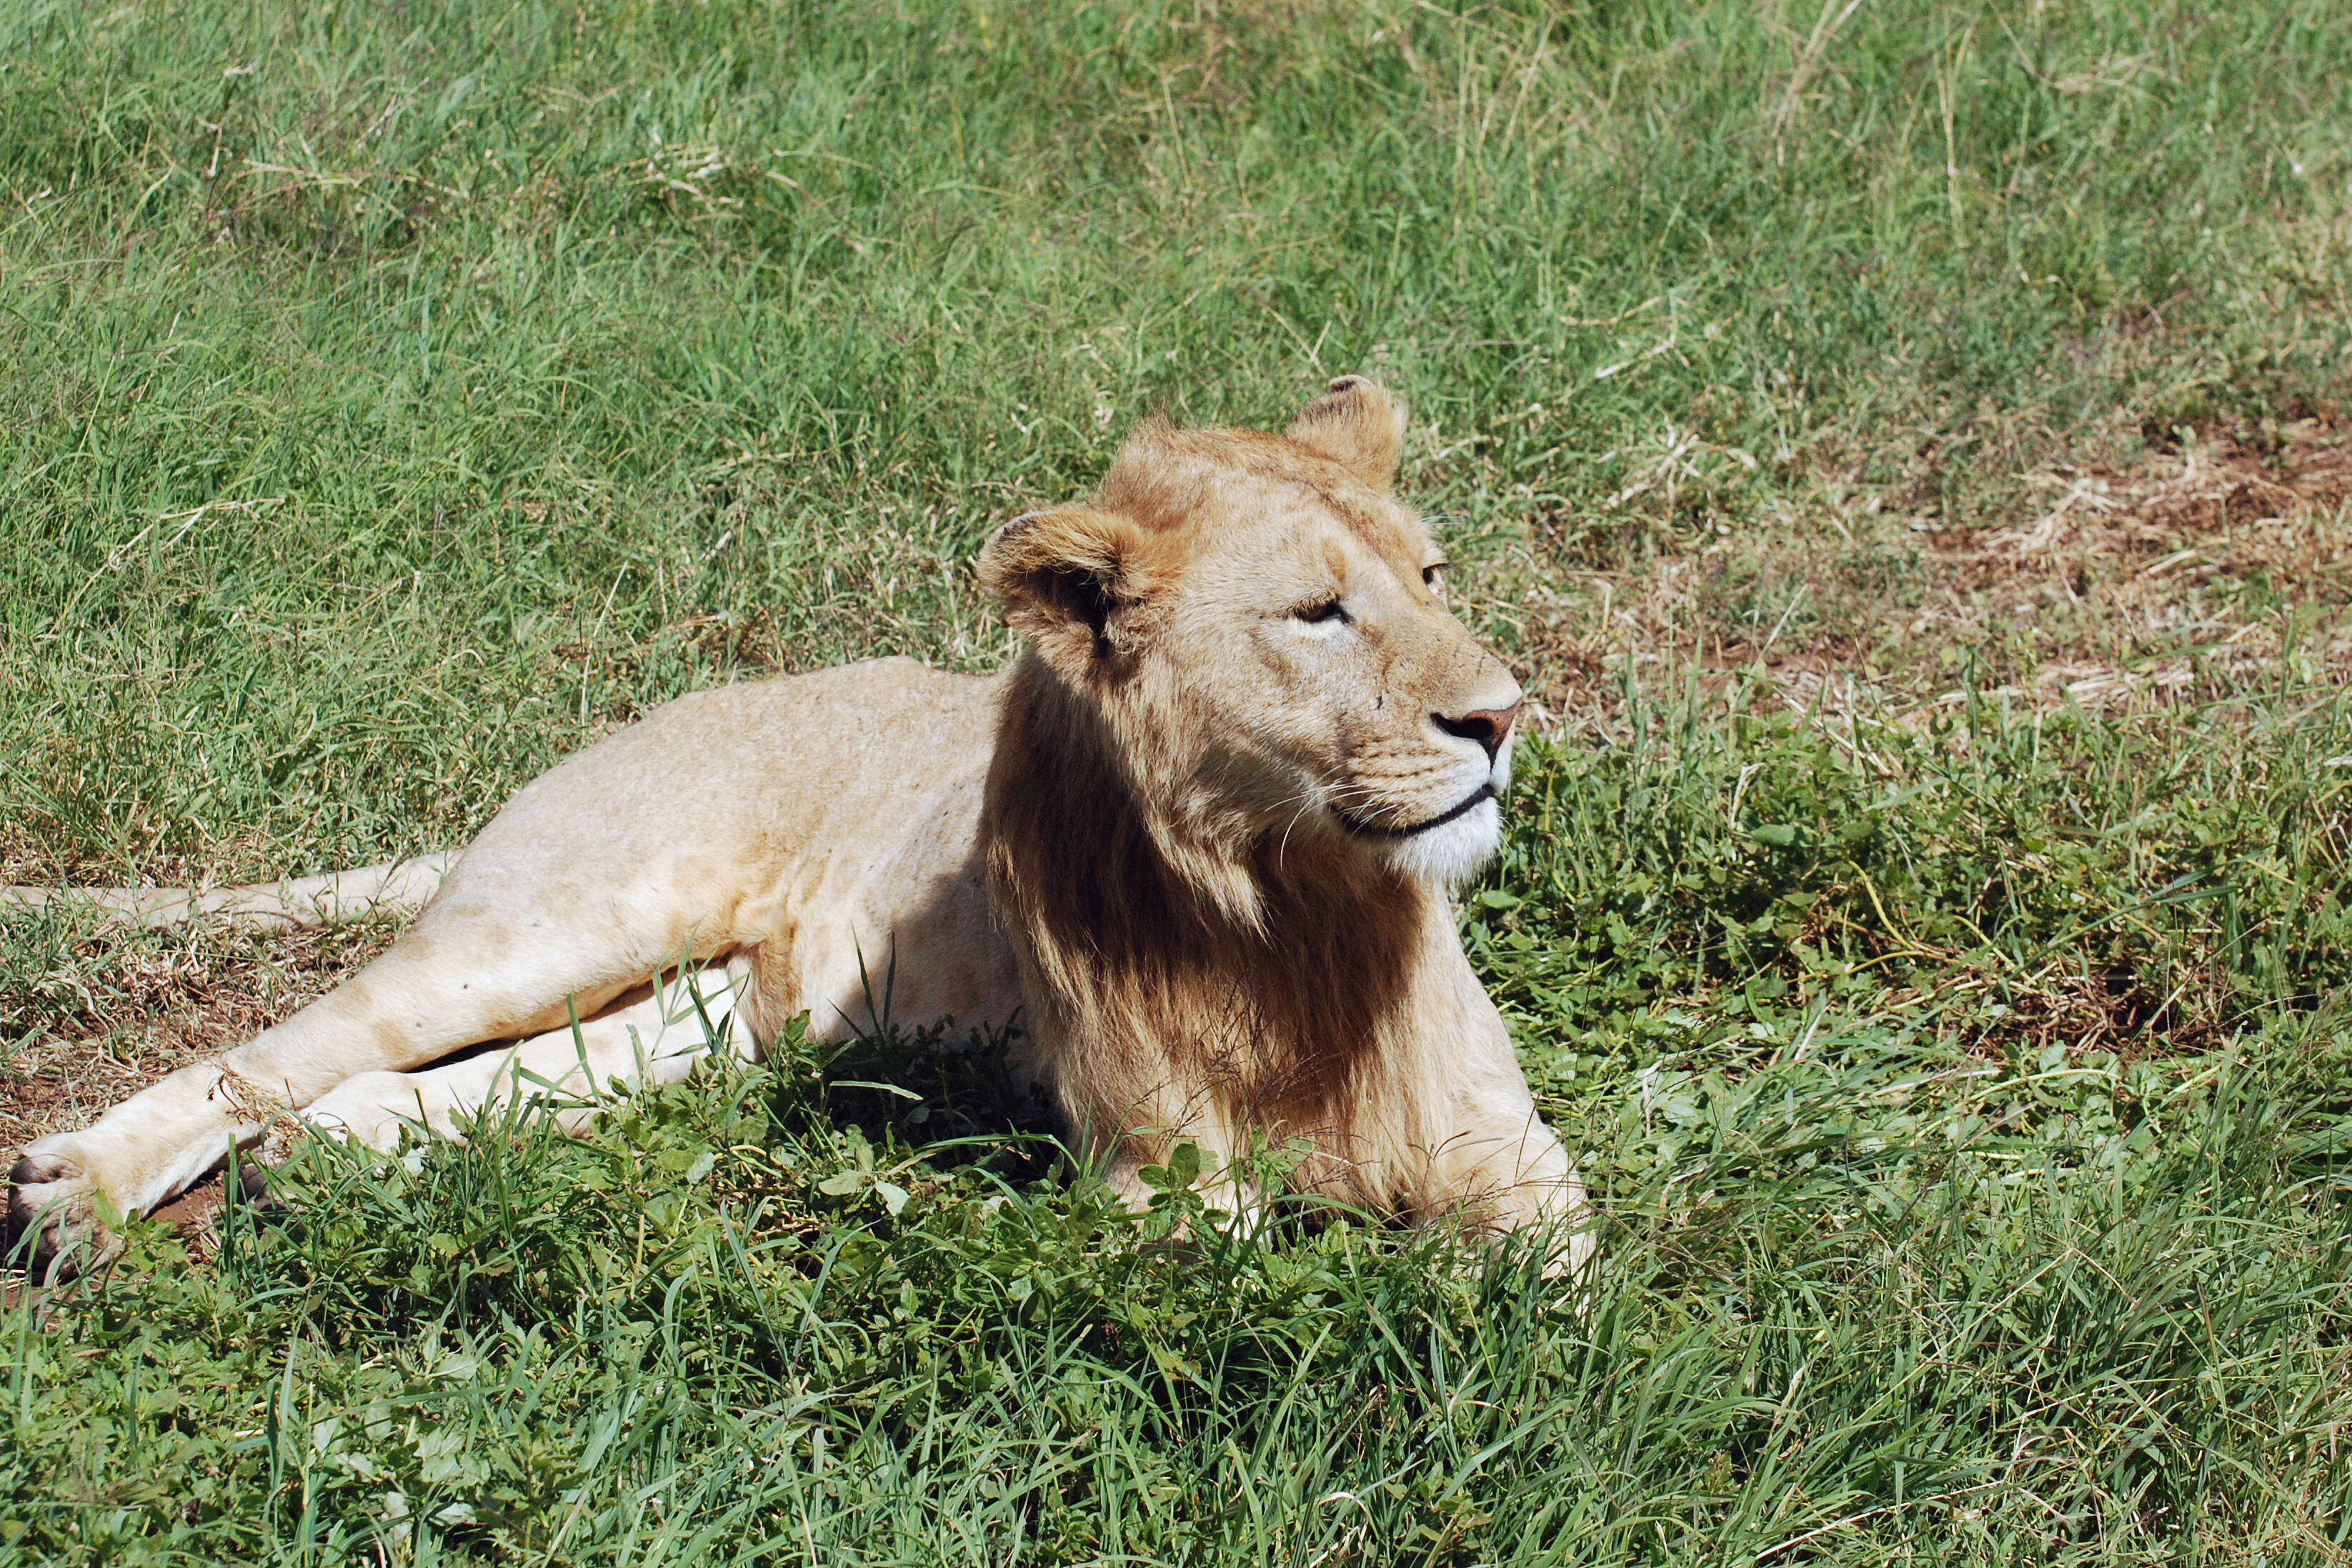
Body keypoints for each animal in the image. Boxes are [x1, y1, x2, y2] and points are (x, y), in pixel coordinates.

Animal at [4, 383, 1599, 1288]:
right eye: (1318, 613)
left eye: (1430, 576)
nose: (1504, 715)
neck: (1298, 900)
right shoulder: (1159, 1183)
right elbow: (1298, 1275)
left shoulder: (1511, 1152)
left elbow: (1553, 1296)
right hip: (564, 917)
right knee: (276, 1049)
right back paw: (81, 1195)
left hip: (712, 1018)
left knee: (472, 1078)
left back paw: (330, 1153)